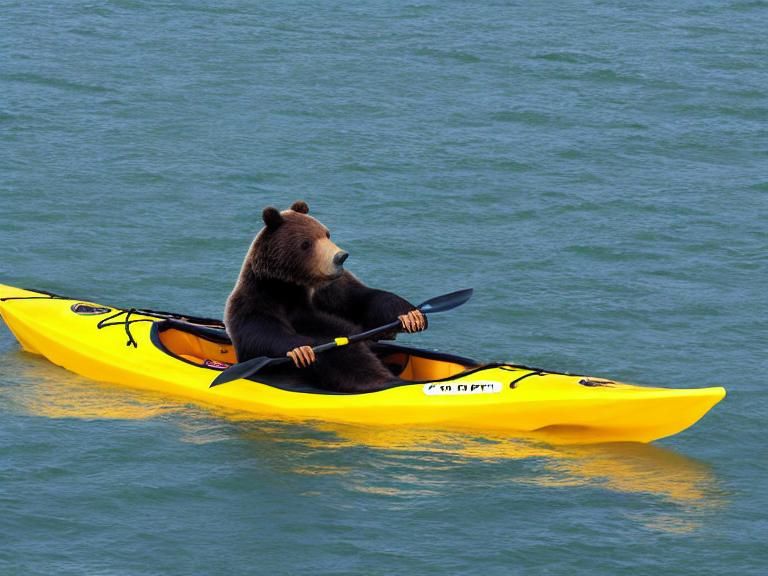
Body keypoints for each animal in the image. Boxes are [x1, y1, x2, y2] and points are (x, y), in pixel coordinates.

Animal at [224, 200, 426, 392]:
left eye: (326, 234)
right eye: (306, 243)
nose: (340, 256)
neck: (293, 285)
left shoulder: (331, 291)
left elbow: (362, 301)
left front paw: (411, 316)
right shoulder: (260, 298)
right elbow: (261, 333)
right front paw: (301, 350)